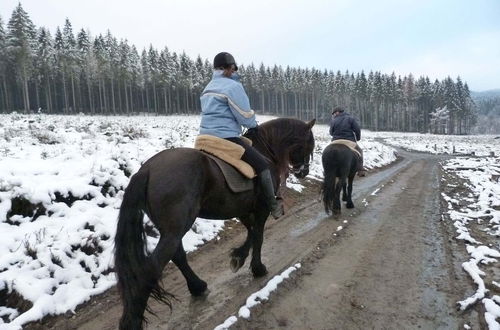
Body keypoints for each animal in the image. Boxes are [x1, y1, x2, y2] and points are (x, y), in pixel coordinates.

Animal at [114, 117, 314, 328]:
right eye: (309, 145)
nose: (304, 172)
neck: (265, 150)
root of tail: (147, 169)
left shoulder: (243, 209)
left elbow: (251, 233)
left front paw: (238, 257)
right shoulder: (262, 209)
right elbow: (259, 236)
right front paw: (258, 268)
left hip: (171, 229)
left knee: (178, 255)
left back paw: (197, 286)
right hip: (176, 228)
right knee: (153, 268)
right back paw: (132, 320)